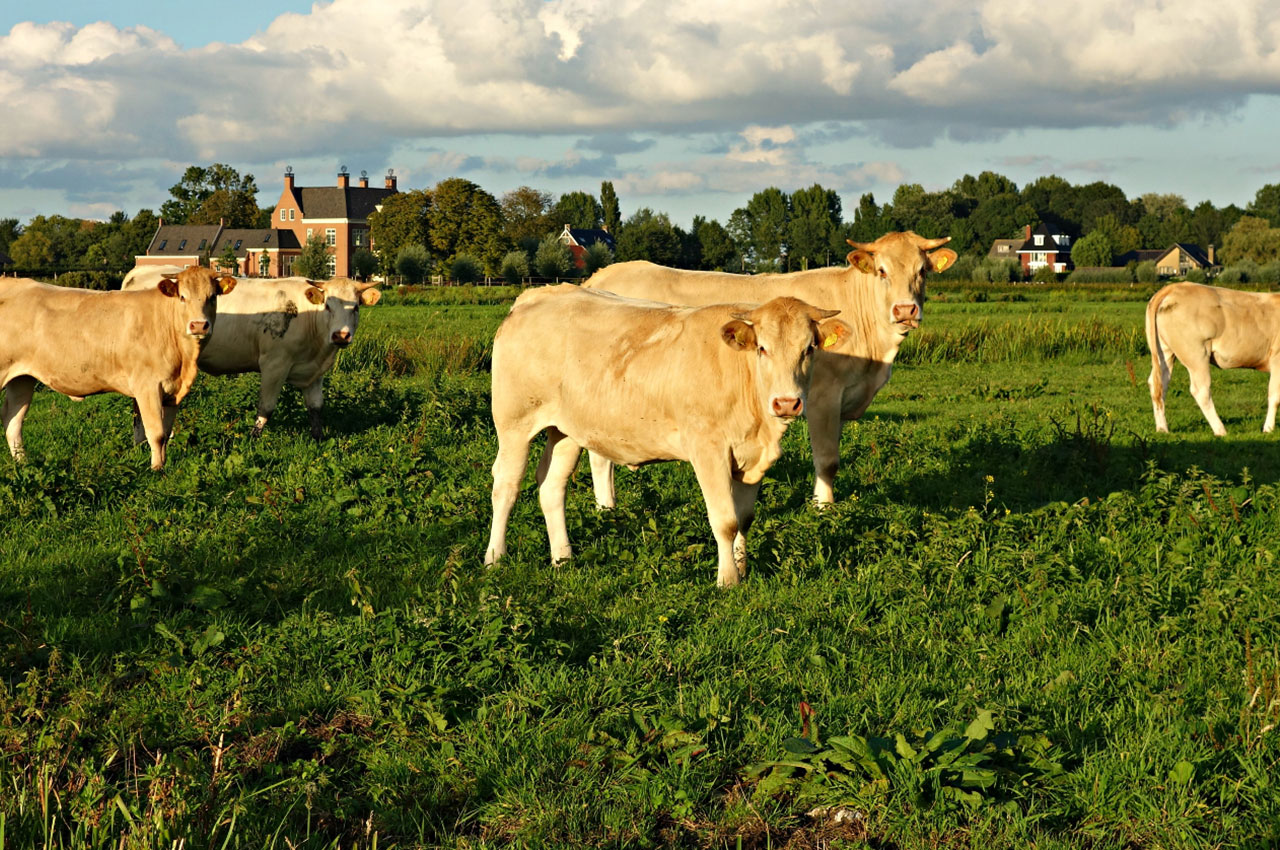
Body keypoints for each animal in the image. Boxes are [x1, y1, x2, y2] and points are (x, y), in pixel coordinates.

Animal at [1, 268, 236, 468]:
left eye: (212, 297)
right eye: (182, 297)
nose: (199, 325)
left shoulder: (172, 392)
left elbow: (166, 433)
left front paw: (163, 465)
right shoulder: (147, 386)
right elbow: (156, 433)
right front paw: (156, 469)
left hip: (22, 379)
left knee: (13, 422)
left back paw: (24, 465)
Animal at [124, 266, 384, 437]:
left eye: (356, 307)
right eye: (328, 305)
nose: (341, 335)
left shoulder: (314, 372)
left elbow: (316, 408)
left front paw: (319, 438)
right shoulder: (274, 364)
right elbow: (266, 406)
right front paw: (253, 438)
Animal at [481, 284, 849, 583]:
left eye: (809, 348)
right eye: (762, 348)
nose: (786, 403)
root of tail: (538, 295)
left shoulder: (751, 456)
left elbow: (744, 518)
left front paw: (742, 568)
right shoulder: (708, 449)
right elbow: (725, 521)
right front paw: (727, 579)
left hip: (566, 430)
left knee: (551, 486)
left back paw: (562, 557)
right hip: (514, 422)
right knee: (506, 486)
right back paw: (494, 558)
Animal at [586, 229, 957, 504]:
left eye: (922, 271)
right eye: (882, 271)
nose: (905, 310)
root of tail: (602, 275)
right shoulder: (824, 396)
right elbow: (828, 460)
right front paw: (824, 509)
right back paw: (608, 508)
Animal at [1146, 281, 1280, 435]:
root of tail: (1176, 286)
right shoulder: (1277, 359)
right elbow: (1275, 396)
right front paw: (1268, 429)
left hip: (1164, 351)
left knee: (1159, 385)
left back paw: (1162, 429)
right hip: (1197, 355)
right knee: (1201, 390)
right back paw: (1220, 430)